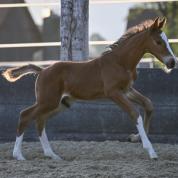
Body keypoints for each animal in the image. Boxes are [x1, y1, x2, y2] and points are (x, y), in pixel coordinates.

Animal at [2, 17, 177, 161]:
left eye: (167, 41)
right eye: (158, 42)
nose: (172, 62)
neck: (120, 62)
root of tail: (42, 70)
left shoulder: (127, 90)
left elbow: (149, 105)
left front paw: (134, 138)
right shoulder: (113, 92)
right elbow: (135, 113)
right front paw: (151, 151)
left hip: (60, 103)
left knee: (40, 120)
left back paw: (52, 155)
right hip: (48, 101)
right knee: (25, 115)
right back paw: (18, 155)